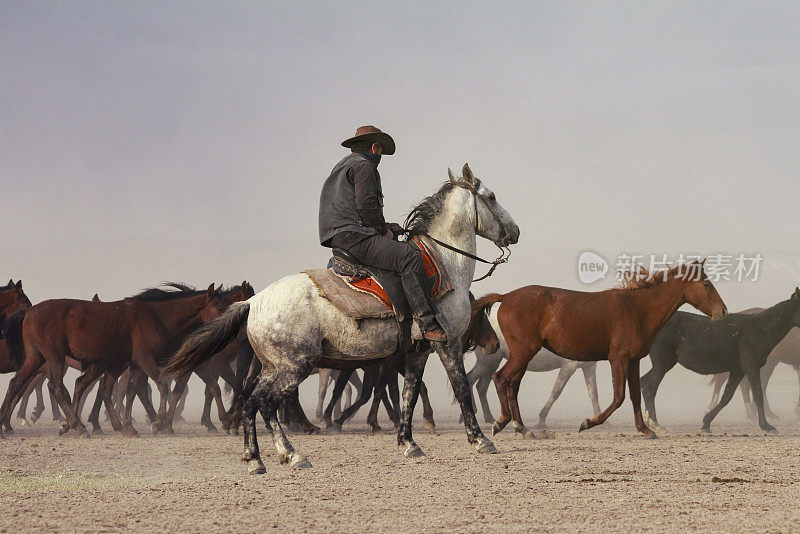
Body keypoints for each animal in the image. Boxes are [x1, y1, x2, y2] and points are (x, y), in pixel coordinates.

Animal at [0, 284, 225, 440]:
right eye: (218, 306)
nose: (226, 325)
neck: (155, 316)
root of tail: (29, 312)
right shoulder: (144, 359)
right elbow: (161, 385)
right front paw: (157, 423)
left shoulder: (135, 364)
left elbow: (131, 391)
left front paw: (129, 427)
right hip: (54, 356)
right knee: (56, 387)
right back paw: (77, 426)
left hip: (36, 357)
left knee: (16, 384)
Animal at [472, 262, 728, 442]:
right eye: (706, 284)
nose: (723, 311)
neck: (637, 309)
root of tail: (505, 297)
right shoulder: (618, 359)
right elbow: (618, 397)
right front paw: (588, 422)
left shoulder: (633, 361)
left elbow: (634, 395)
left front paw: (645, 429)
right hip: (522, 353)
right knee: (500, 379)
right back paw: (500, 423)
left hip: (524, 356)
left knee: (512, 385)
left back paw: (524, 429)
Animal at [640, 288, 800, 436]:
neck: (760, 329)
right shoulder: (751, 366)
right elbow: (758, 394)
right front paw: (767, 426)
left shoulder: (738, 369)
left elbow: (727, 396)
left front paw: (706, 423)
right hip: (663, 363)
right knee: (649, 388)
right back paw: (656, 424)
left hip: (661, 364)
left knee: (644, 382)